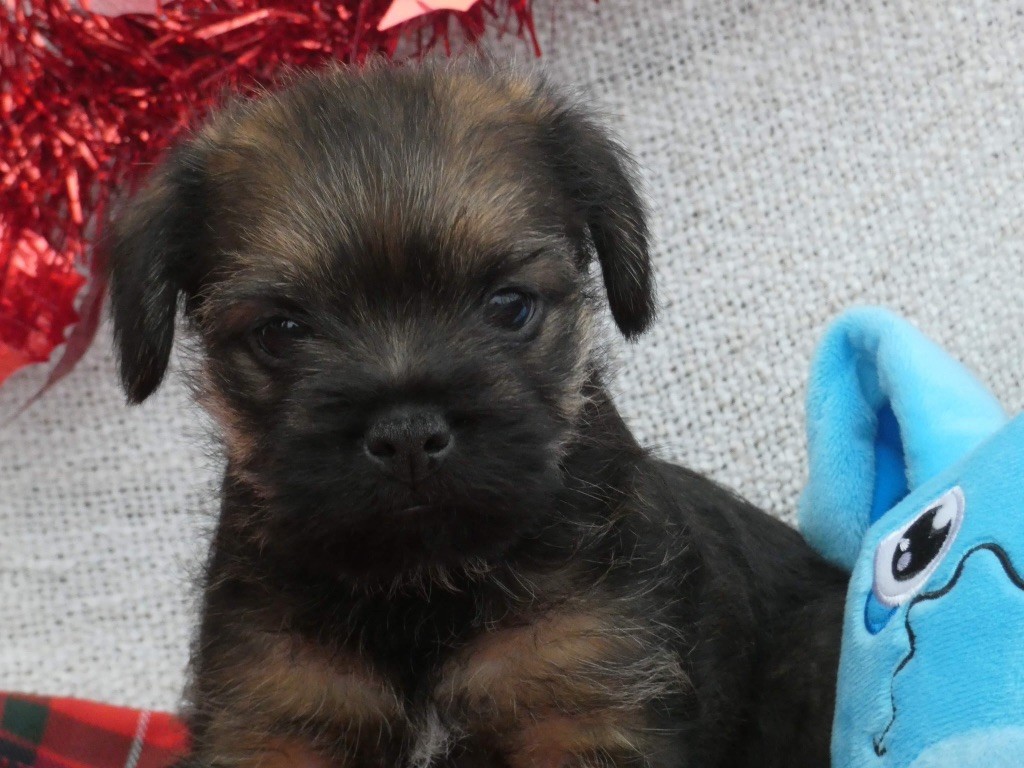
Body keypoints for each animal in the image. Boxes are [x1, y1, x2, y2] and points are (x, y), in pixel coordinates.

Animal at [107, 62, 846, 768]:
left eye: (510, 306)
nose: (407, 433)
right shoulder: (275, 716)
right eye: (281, 332)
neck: (423, 588)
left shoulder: (582, 707)